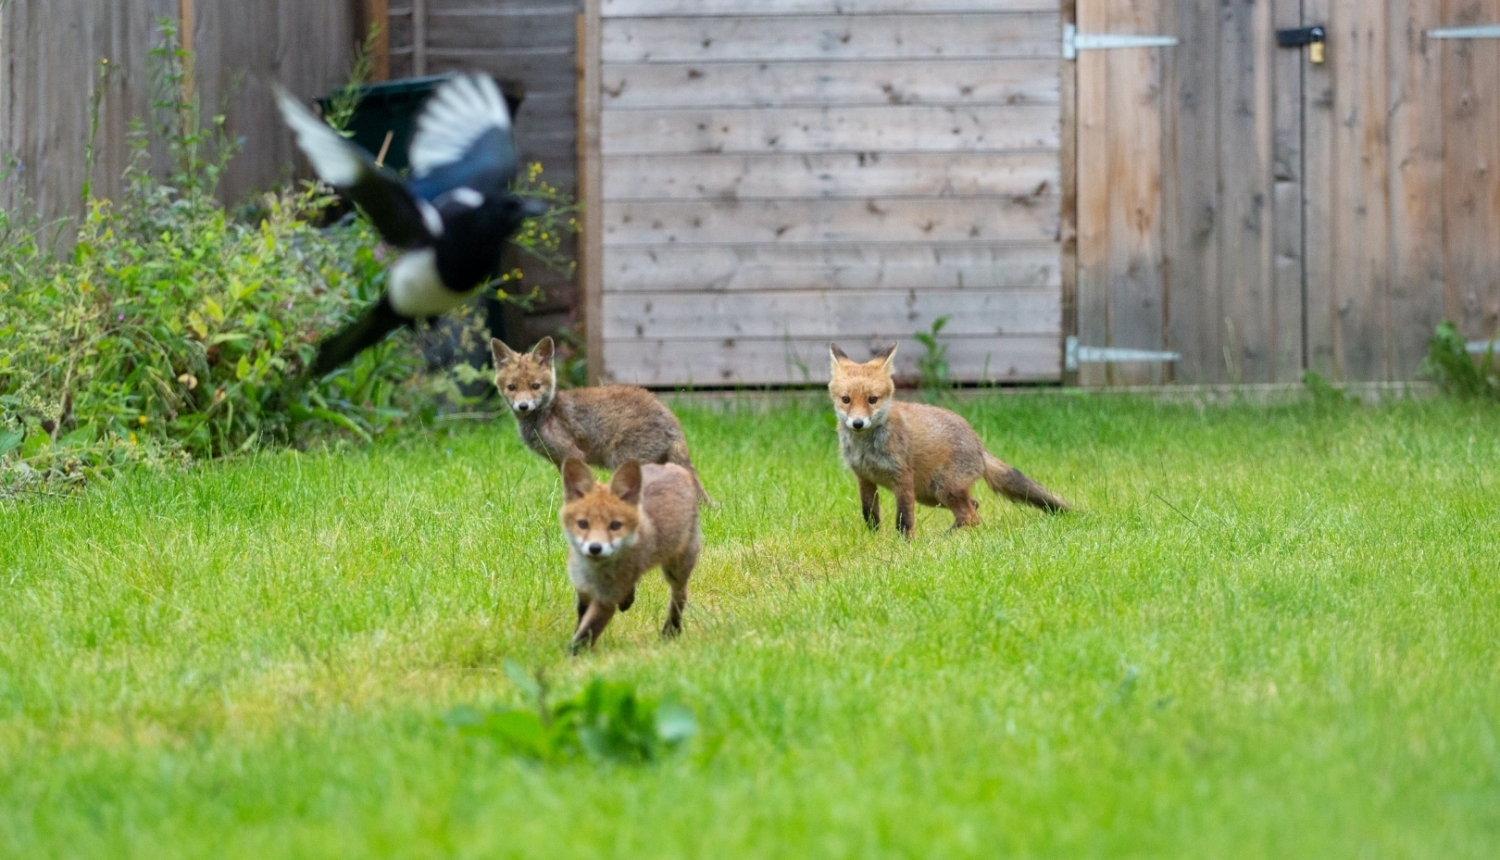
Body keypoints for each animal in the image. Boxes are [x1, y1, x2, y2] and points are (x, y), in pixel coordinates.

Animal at [486, 333, 708, 498]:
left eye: (535, 386)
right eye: (512, 387)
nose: (523, 406)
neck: (548, 413)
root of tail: (670, 418)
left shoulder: (573, 453)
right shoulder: (560, 460)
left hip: (623, 459)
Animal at [564, 459, 702, 654]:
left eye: (615, 525)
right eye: (583, 524)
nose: (595, 548)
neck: (593, 573)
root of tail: (671, 467)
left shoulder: (606, 601)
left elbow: (586, 634)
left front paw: (570, 656)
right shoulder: (583, 590)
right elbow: (581, 623)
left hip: (677, 569)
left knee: (679, 596)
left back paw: (671, 631)